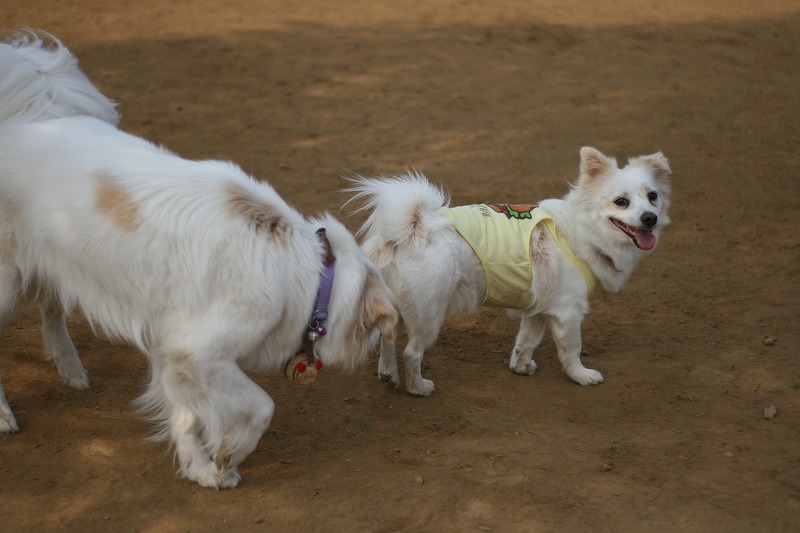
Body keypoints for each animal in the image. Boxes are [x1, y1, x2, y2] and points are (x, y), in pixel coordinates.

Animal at [0, 30, 398, 486]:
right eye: (376, 327)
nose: (378, 346)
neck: (310, 276)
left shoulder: (181, 354)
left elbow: (187, 419)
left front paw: (200, 469)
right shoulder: (198, 353)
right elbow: (262, 405)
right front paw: (229, 454)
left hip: (54, 263)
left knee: (51, 308)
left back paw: (70, 368)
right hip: (8, 281)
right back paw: (5, 415)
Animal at [346, 145, 672, 394]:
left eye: (653, 196)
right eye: (621, 202)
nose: (650, 218)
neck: (581, 232)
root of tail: (411, 228)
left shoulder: (540, 310)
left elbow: (526, 341)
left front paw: (521, 367)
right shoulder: (568, 313)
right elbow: (571, 350)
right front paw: (582, 376)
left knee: (388, 339)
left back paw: (389, 375)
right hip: (429, 314)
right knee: (411, 352)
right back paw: (418, 388)